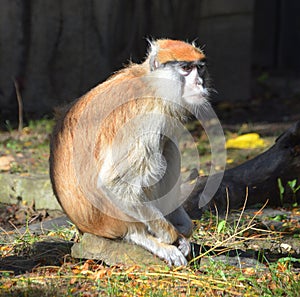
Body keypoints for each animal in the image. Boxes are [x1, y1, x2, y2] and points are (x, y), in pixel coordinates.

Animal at [49, 38, 209, 264]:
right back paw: (143, 237)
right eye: (186, 68)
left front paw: (183, 227)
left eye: (199, 68)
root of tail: (83, 226)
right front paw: (172, 236)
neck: (152, 82)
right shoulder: (148, 115)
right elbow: (113, 183)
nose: (200, 83)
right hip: (108, 218)